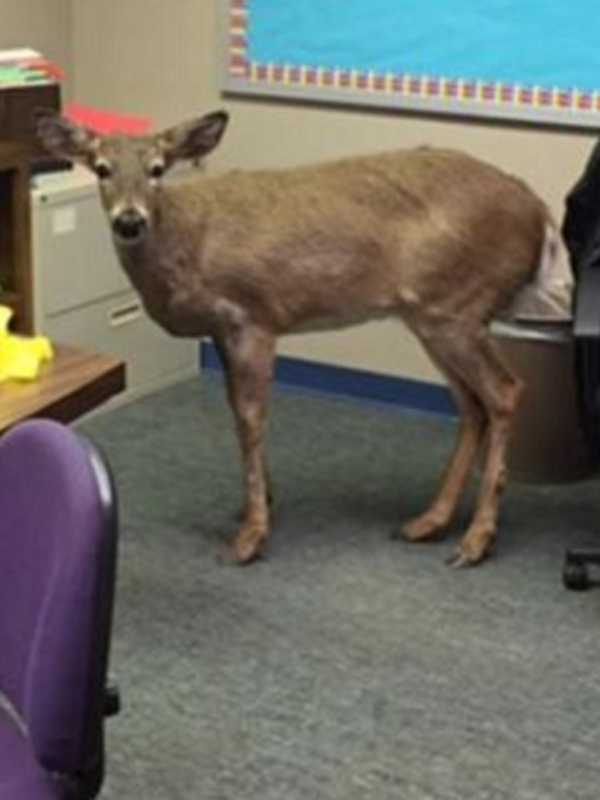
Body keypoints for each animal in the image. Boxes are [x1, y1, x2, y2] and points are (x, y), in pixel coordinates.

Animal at [36, 108, 572, 568]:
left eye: (157, 168)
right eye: (101, 168)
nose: (130, 220)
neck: (189, 247)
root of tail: (539, 212)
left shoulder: (254, 317)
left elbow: (251, 416)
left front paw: (251, 536)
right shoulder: (223, 330)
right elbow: (235, 411)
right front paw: (259, 504)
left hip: (456, 307)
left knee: (505, 391)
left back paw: (477, 540)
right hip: (432, 316)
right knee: (471, 403)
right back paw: (428, 522)